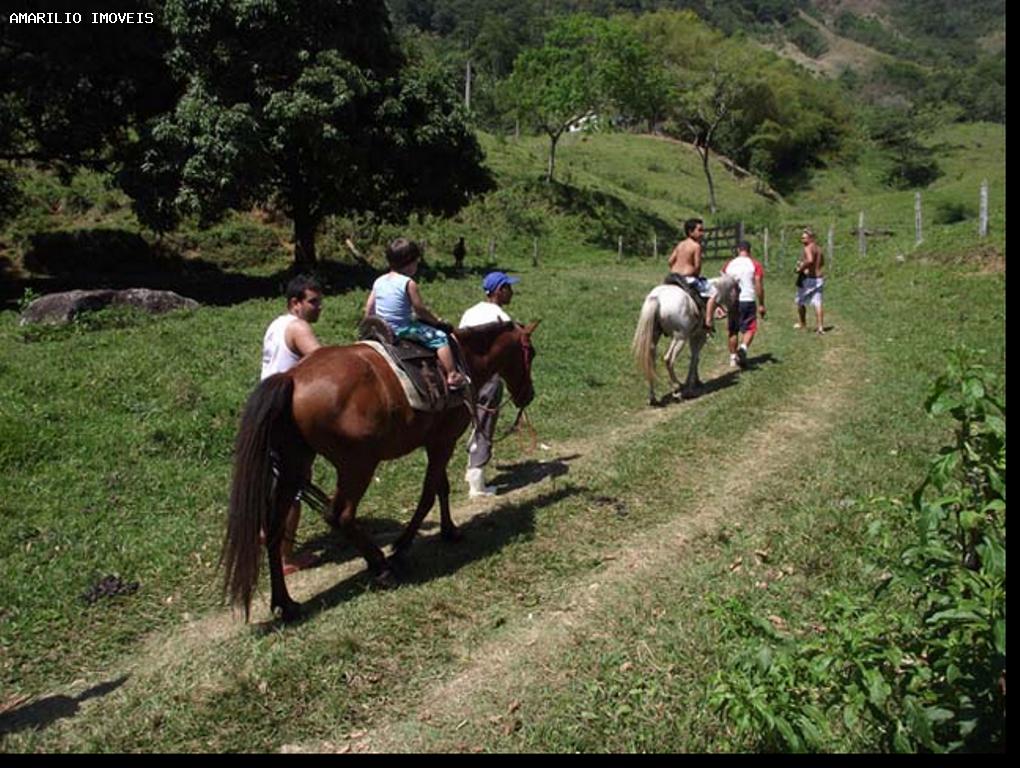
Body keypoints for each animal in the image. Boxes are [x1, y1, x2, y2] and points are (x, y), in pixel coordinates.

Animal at [224, 320, 542, 620]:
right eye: (532, 353)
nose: (529, 394)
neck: (464, 357)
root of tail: (290, 377)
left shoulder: (436, 442)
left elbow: (440, 487)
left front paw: (449, 530)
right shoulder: (443, 441)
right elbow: (429, 492)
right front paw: (403, 544)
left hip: (295, 466)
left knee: (275, 527)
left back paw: (285, 603)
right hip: (357, 465)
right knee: (340, 515)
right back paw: (380, 566)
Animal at [628, 275, 734, 407]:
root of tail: (657, 298)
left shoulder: (694, 336)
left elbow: (695, 358)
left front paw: (696, 382)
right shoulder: (699, 336)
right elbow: (695, 358)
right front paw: (691, 385)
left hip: (654, 338)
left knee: (650, 362)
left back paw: (653, 398)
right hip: (680, 338)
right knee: (668, 359)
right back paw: (677, 388)